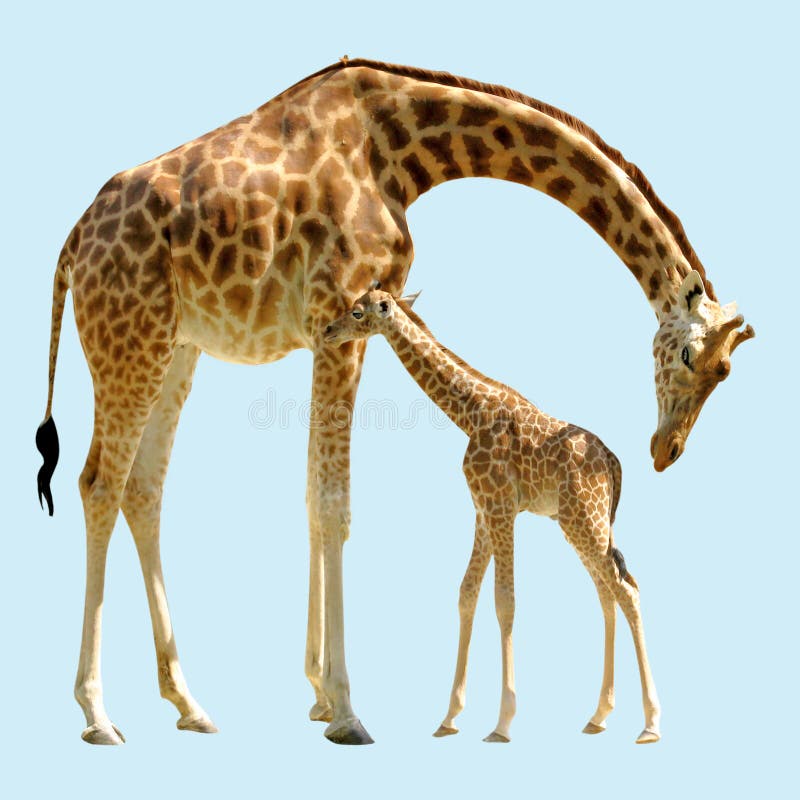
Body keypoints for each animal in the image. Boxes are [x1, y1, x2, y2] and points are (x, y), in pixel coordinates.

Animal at [325, 289, 660, 744]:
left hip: (585, 520)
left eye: (358, 312)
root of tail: (612, 461)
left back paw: (650, 723)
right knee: (608, 592)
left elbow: (505, 602)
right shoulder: (482, 510)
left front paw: (502, 722)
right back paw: (599, 716)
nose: (328, 331)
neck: (469, 412)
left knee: (627, 591)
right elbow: (467, 594)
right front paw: (449, 717)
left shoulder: (501, 507)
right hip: (579, 523)